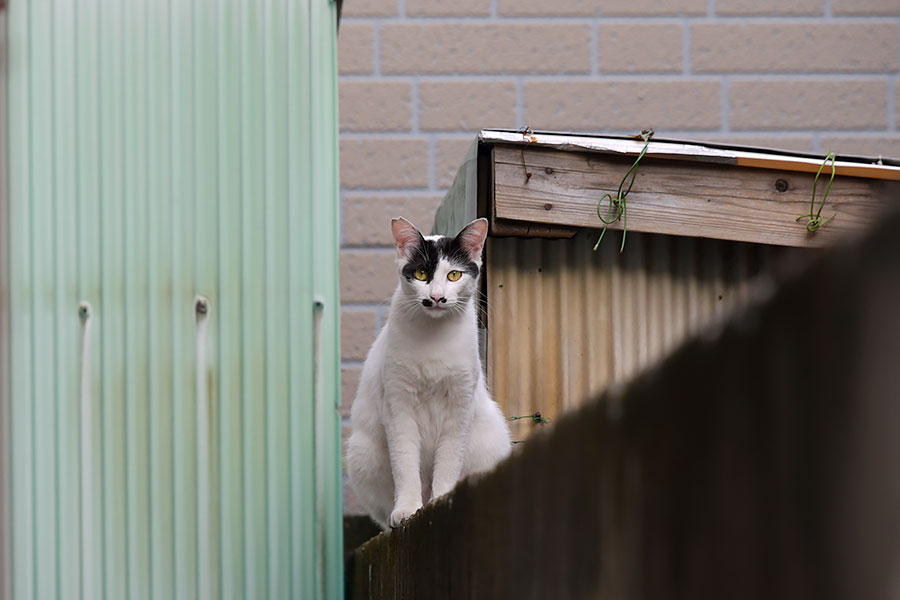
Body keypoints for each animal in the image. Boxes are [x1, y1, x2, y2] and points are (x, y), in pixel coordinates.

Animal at [346, 216, 510, 528]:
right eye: (421, 274)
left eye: (454, 275)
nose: (436, 297)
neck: (434, 338)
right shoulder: (398, 406)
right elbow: (405, 464)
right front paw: (407, 508)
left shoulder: (460, 406)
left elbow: (448, 461)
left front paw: (440, 499)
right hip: (362, 452)